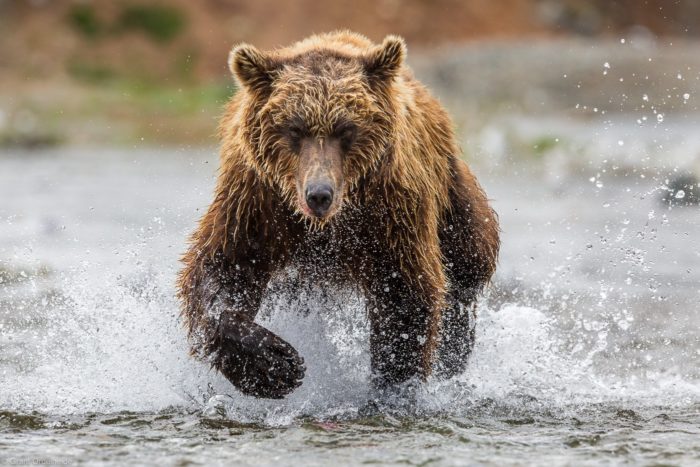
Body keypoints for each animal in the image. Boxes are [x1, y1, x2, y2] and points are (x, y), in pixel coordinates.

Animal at [177, 31, 500, 399]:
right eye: (294, 129)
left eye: (346, 129)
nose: (319, 194)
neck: (327, 223)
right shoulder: (256, 199)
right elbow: (224, 268)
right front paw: (273, 364)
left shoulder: (391, 207)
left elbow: (405, 290)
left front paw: (392, 384)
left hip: (452, 197)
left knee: (465, 269)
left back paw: (452, 354)